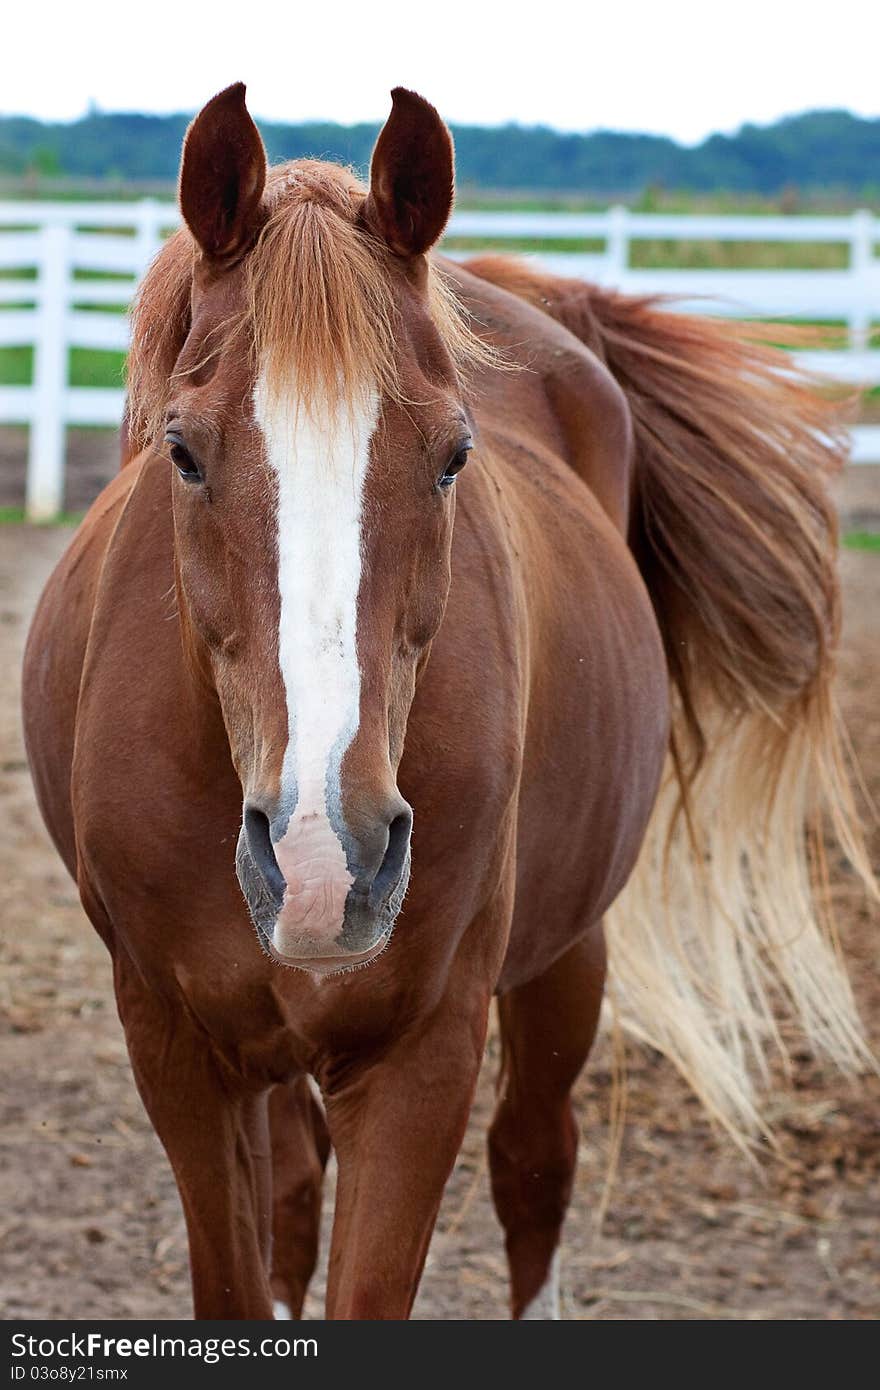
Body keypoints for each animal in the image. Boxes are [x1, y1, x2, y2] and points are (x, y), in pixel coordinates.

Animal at [22, 81, 873, 1317]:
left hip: (567, 957)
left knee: (533, 1167)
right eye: (180, 451)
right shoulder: (175, 1050)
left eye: (452, 453)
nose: (326, 859)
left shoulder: (423, 1057)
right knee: (300, 1192)